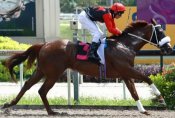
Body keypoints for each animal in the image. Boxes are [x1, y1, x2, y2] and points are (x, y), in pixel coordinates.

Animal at [2, 19, 172, 115]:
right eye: (160, 31)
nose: (169, 49)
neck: (125, 45)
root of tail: (45, 44)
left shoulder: (125, 73)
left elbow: (134, 92)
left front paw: (143, 110)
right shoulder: (126, 69)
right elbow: (147, 78)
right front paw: (160, 99)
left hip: (42, 71)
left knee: (29, 86)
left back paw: (12, 104)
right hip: (53, 73)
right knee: (41, 90)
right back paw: (49, 111)